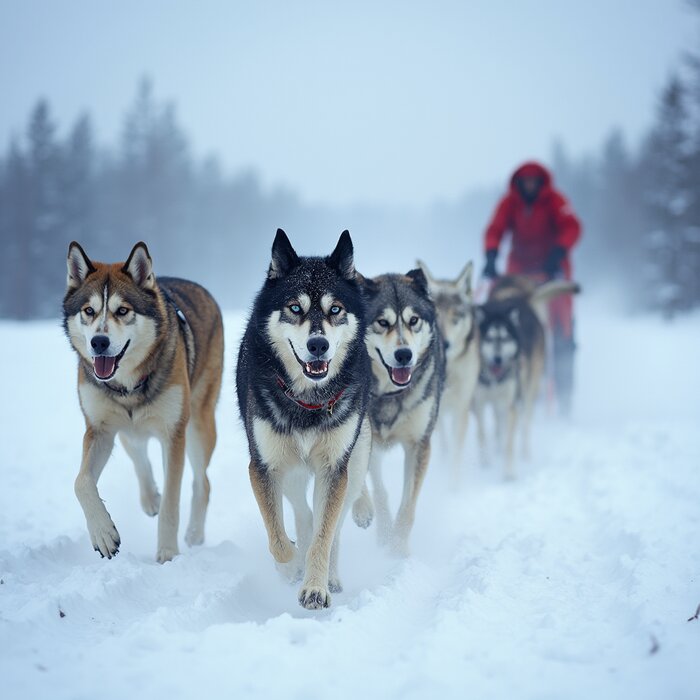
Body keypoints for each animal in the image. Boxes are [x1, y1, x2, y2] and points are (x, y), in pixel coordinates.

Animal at [64, 241, 224, 564]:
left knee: (203, 482)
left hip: (198, 424)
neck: (127, 387)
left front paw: (167, 554)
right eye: (89, 311)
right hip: (126, 430)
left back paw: (194, 534)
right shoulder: (99, 429)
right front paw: (104, 534)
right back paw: (150, 498)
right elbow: (81, 482)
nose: (98, 342)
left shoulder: (173, 434)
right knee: (137, 450)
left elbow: (172, 504)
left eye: (123, 310)